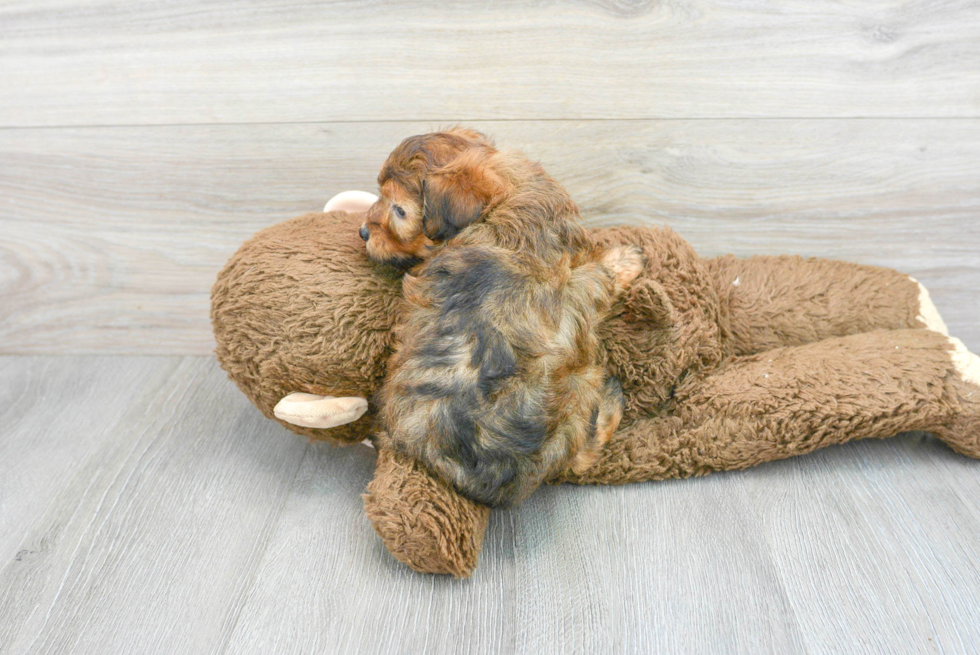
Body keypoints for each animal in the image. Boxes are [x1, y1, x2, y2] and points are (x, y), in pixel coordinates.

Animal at [368, 128, 644, 508]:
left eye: (398, 211)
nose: (363, 232)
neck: (509, 200)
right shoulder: (583, 280)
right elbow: (603, 272)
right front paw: (626, 258)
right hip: (583, 382)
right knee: (584, 453)